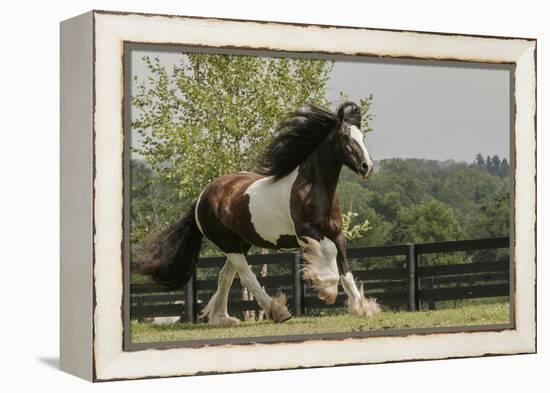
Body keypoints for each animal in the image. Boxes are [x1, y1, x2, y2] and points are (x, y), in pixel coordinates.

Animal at [136, 101, 382, 324]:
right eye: (346, 138)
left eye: (362, 137)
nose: (367, 167)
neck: (312, 189)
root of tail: (202, 197)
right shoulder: (306, 232)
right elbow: (330, 255)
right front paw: (327, 290)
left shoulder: (337, 233)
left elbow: (345, 269)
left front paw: (362, 308)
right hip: (228, 244)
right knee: (246, 276)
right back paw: (278, 312)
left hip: (241, 243)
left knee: (225, 276)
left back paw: (222, 319)